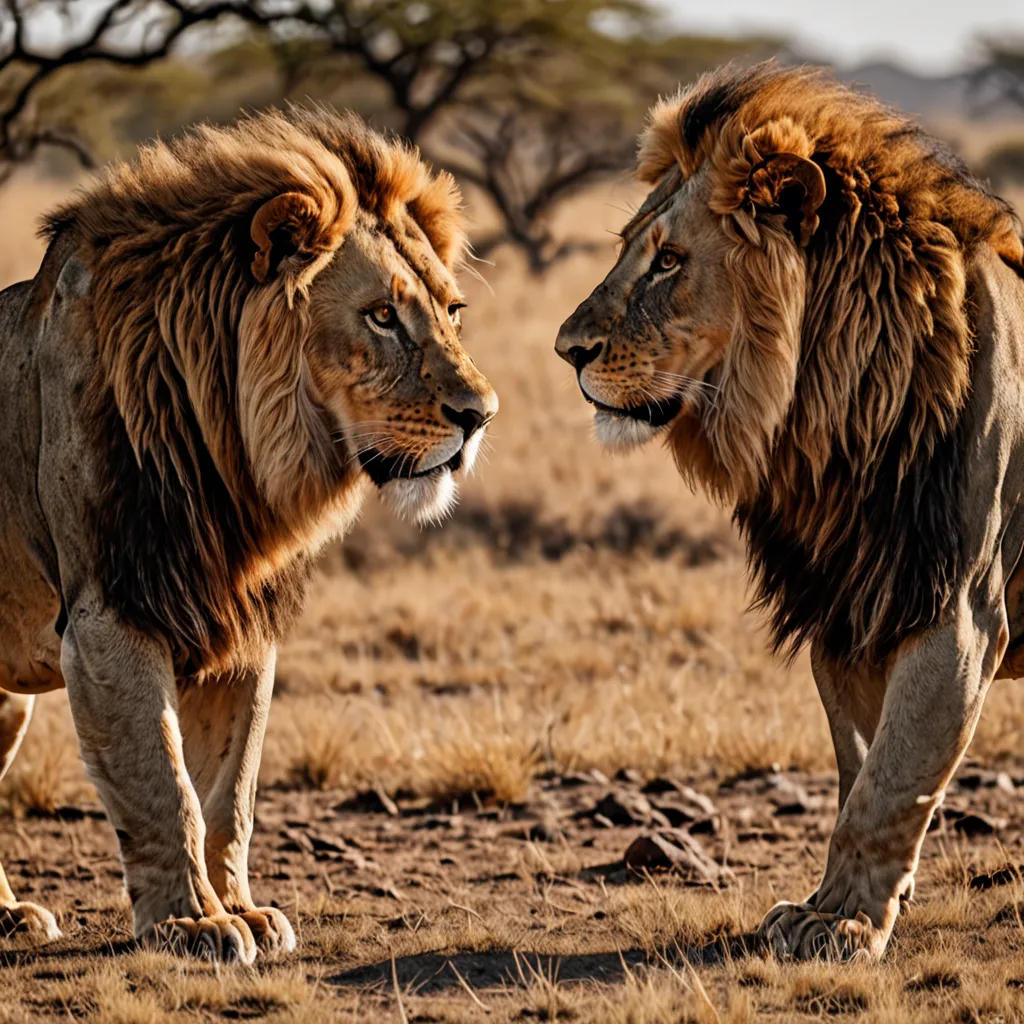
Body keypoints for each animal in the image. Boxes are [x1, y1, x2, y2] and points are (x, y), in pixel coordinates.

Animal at [0, 106, 496, 962]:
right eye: (381, 315)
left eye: (452, 311)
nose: (480, 416)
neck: (231, 455)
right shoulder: (111, 614)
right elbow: (162, 785)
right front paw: (192, 923)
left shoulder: (238, 620)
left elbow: (230, 792)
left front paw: (242, 909)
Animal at [556, 62, 1024, 961]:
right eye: (628, 249)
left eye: (669, 261)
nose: (567, 351)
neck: (831, 413)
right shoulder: (845, 603)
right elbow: (859, 768)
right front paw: (846, 904)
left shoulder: (955, 606)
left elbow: (893, 779)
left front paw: (842, 924)